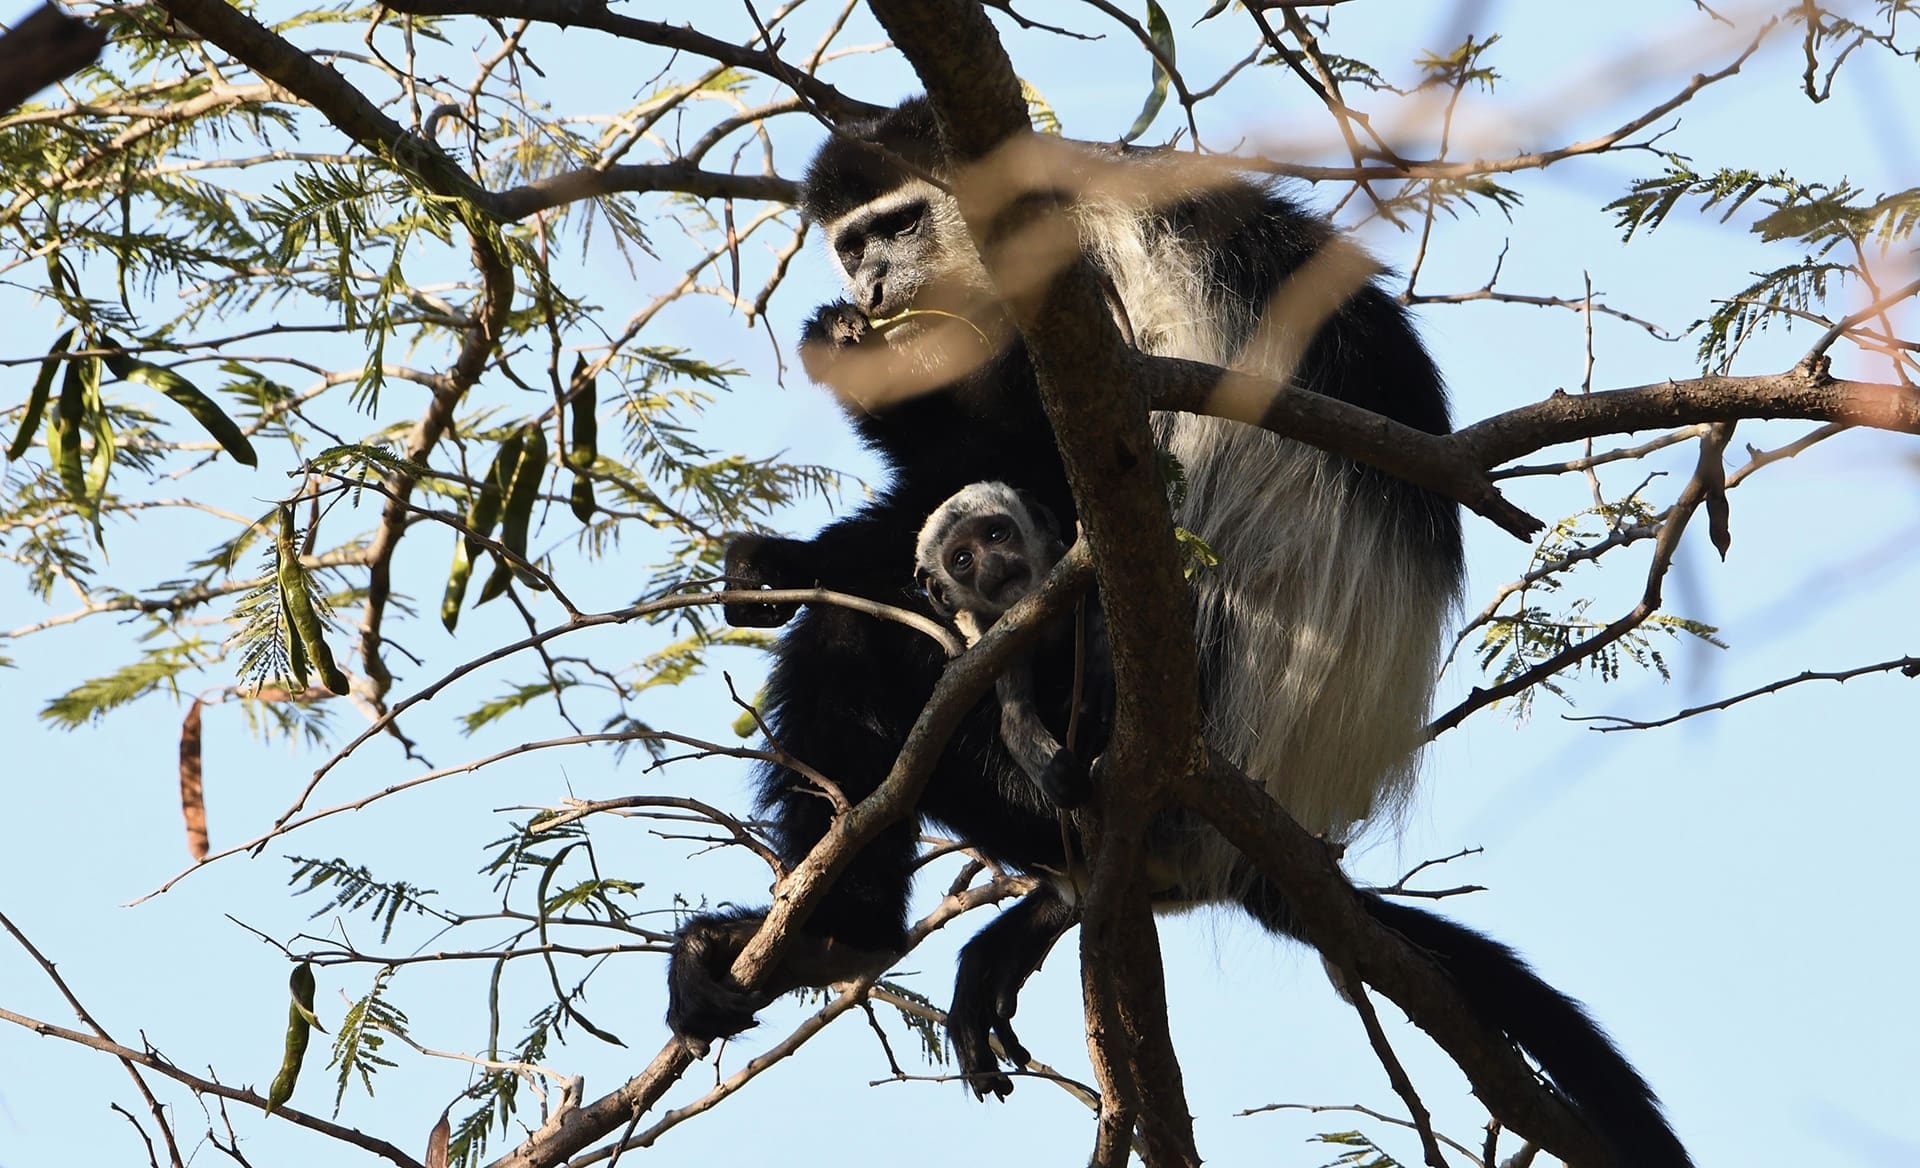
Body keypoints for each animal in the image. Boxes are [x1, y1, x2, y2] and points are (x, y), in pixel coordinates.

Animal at [666, 99, 1690, 1167]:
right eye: (851, 242)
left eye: (898, 226)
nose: (871, 285)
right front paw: (777, 558)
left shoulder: (1061, 296)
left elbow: (1027, 463)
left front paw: (837, 428)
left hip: (1092, 734)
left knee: (868, 653)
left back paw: (843, 930)